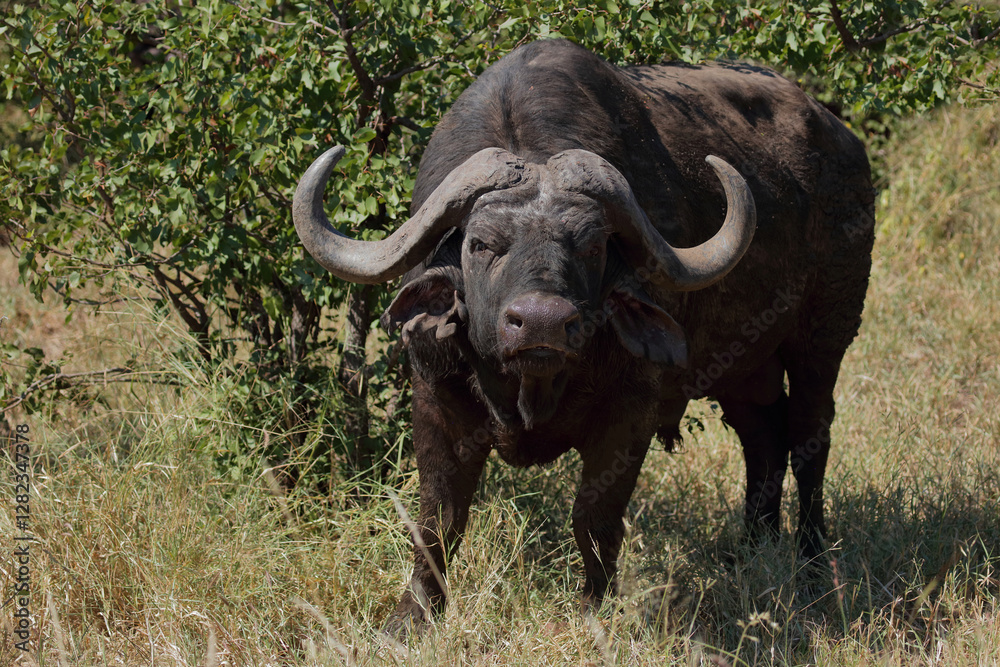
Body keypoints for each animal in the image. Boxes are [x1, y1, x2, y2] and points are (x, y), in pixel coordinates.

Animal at [292, 39, 874, 634]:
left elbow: (594, 519)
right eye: (480, 244)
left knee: (809, 439)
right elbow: (438, 518)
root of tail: (843, 141)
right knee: (763, 437)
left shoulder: (631, 412)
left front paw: (596, 609)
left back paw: (811, 565)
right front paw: (412, 618)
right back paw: (750, 551)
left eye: (593, 245)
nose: (542, 322)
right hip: (745, 364)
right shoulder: (435, 396)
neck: (528, 387)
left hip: (824, 335)